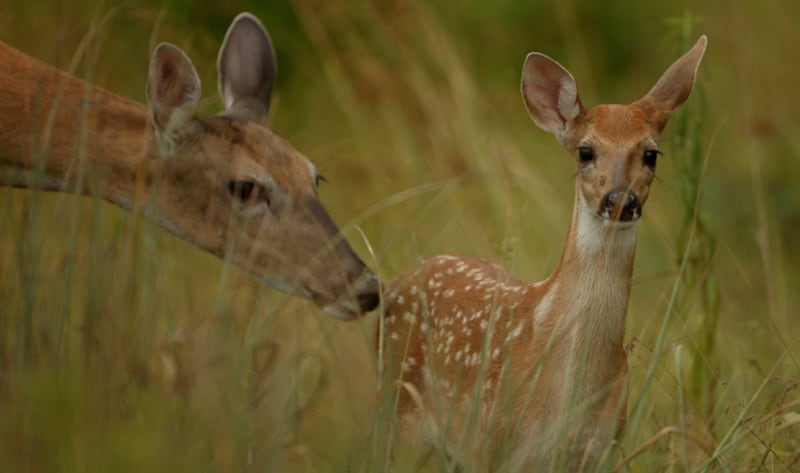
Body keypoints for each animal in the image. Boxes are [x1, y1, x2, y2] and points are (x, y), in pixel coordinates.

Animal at [379, 36, 707, 470]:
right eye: (585, 152)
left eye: (651, 154)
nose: (620, 200)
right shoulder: (498, 446)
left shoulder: (601, 448)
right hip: (398, 415)